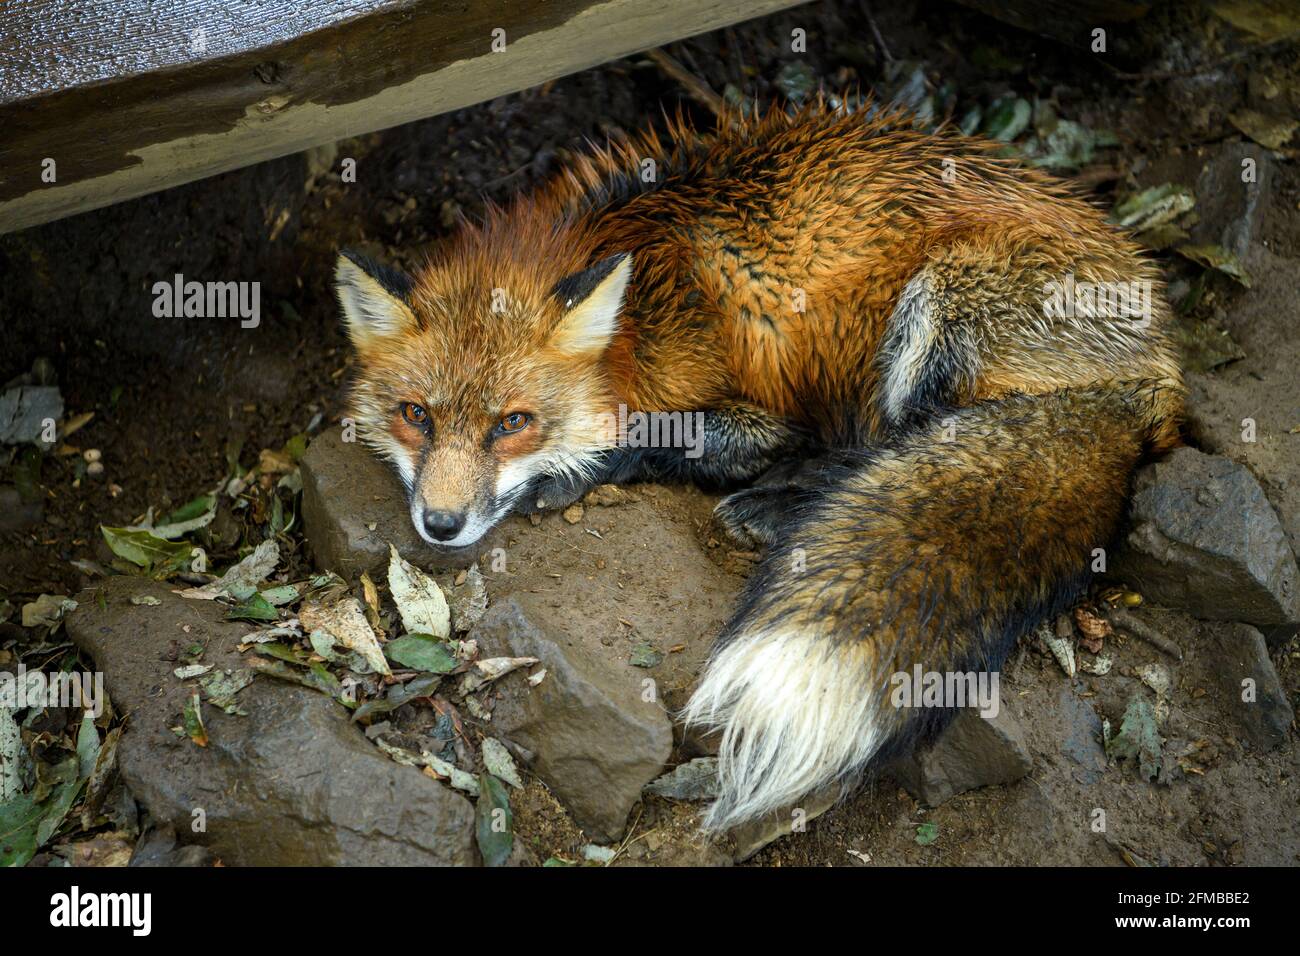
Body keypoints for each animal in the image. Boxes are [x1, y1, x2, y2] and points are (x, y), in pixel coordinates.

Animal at [338, 98, 1190, 832]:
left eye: (512, 424)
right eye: (416, 415)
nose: (441, 524)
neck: (643, 308)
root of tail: (1157, 371)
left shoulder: (755, 409)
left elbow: (677, 437)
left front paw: (584, 469)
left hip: (934, 309)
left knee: (884, 445)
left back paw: (784, 510)